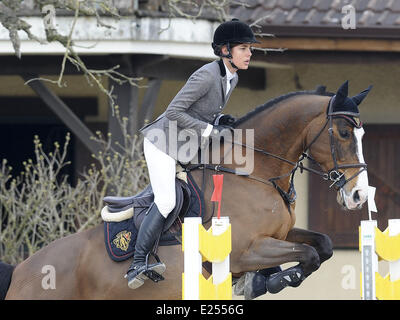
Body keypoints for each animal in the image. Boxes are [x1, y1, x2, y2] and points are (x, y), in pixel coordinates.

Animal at [0, 80, 370, 300]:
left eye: (362, 134)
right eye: (342, 132)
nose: (359, 196)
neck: (255, 173)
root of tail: (21, 270)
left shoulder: (279, 235)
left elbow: (322, 246)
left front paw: (267, 280)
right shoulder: (244, 251)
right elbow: (308, 254)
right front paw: (275, 280)